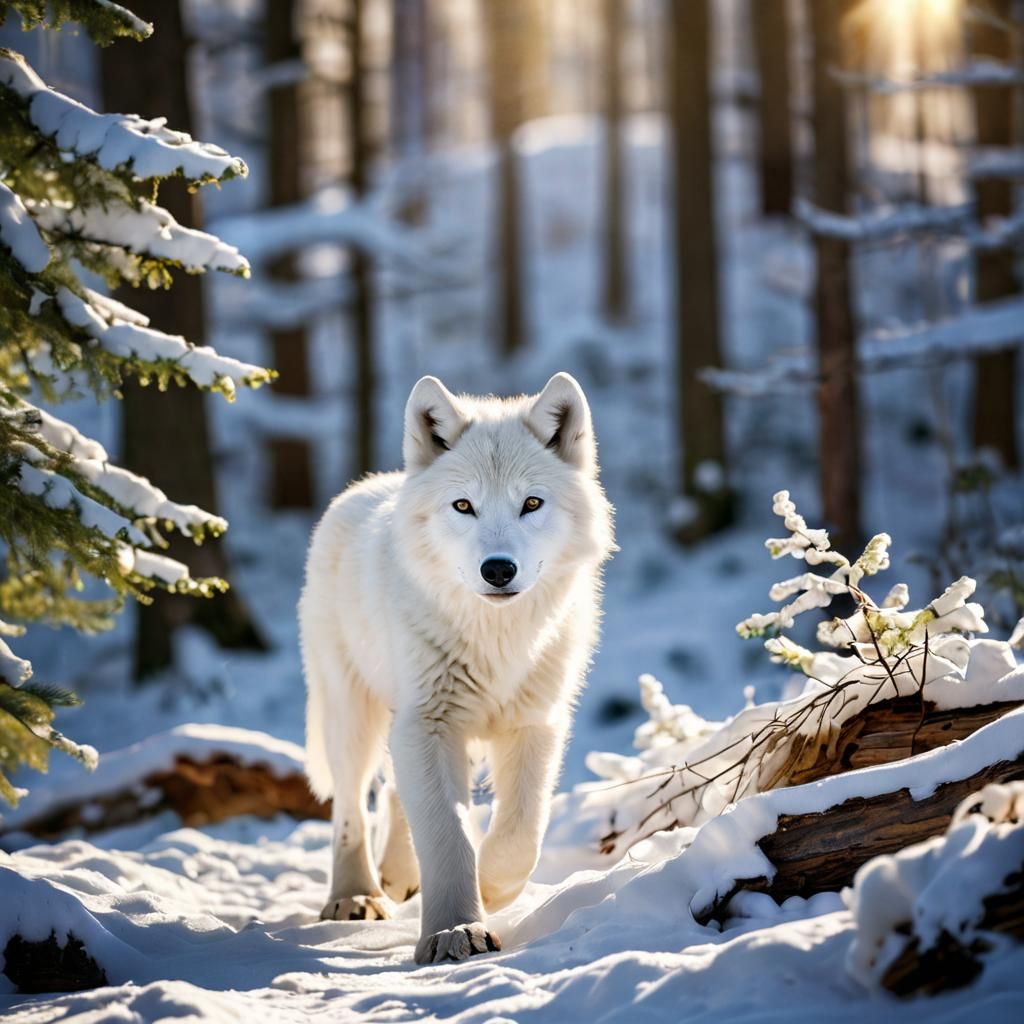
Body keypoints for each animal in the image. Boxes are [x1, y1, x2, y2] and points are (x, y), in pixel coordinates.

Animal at [299, 372, 614, 964]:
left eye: (531, 503)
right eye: (463, 505)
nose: (498, 570)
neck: (495, 639)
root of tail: (363, 488)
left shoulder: (534, 725)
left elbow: (518, 836)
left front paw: (488, 893)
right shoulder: (428, 724)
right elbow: (448, 834)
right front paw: (454, 931)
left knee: (395, 795)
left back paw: (400, 878)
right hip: (354, 715)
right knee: (351, 806)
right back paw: (355, 896)